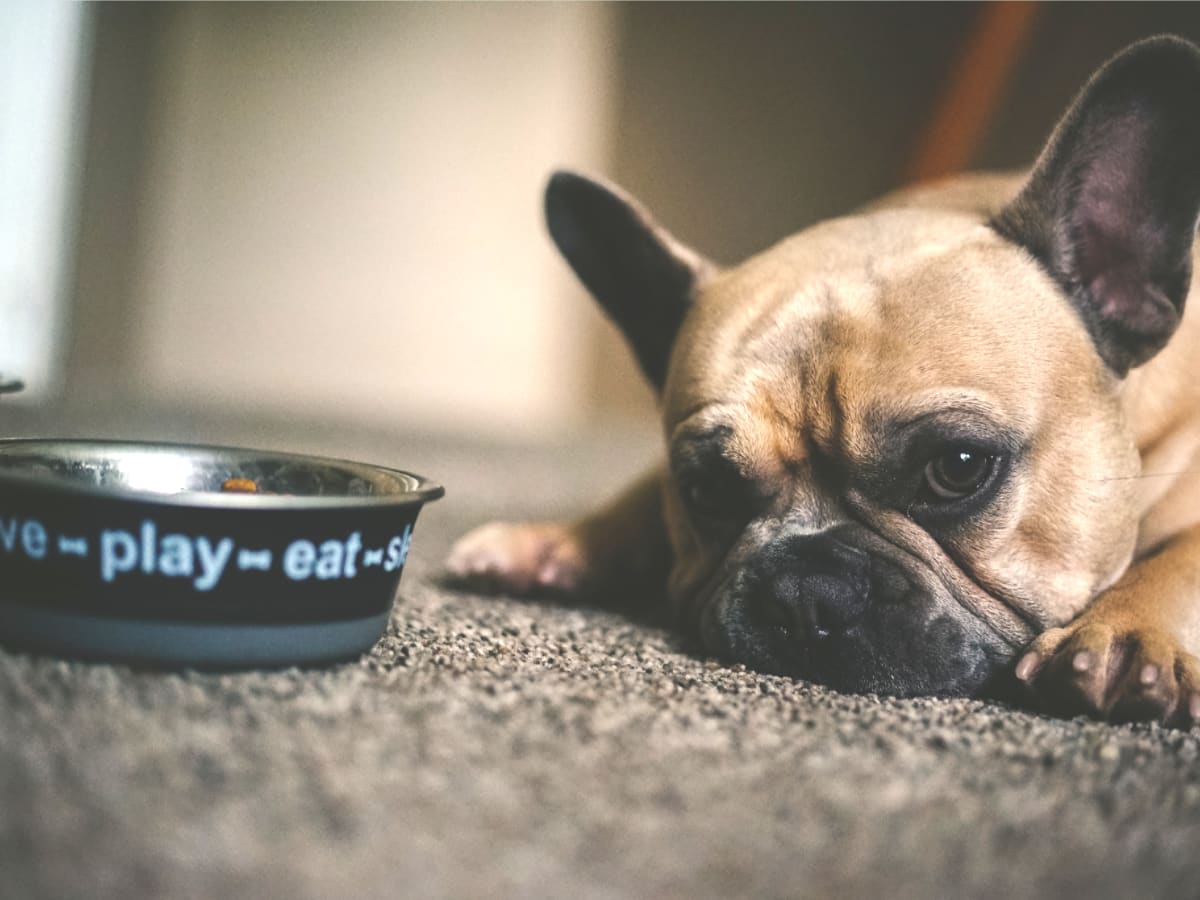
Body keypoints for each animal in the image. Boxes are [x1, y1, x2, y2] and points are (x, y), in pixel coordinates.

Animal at [446, 35, 1200, 729]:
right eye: (705, 490)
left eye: (958, 468)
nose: (807, 592)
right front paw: (560, 540)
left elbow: (1184, 556)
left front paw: (1122, 634)